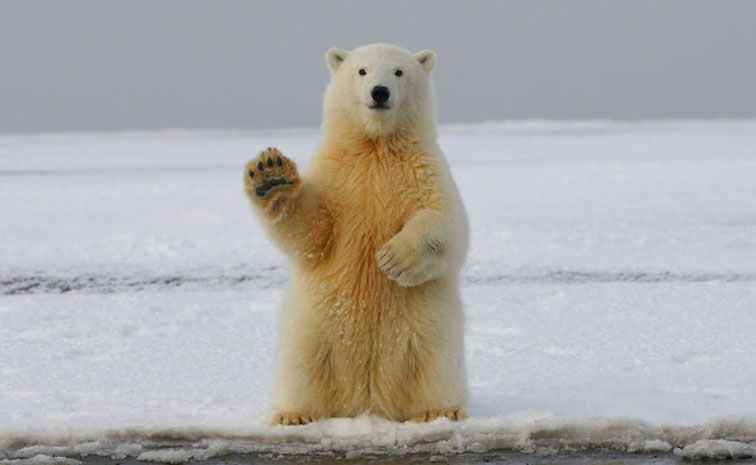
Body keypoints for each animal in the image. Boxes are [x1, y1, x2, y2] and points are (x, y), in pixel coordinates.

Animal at [243, 43, 469, 425]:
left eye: (398, 71)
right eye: (362, 71)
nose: (379, 92)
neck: (375, 146)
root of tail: (367, 401)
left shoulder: (424, 171)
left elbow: (446, 223)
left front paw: (393, 259)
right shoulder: (337, 176)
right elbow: (313, 232)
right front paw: (271, 175)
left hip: (430, 332)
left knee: (434, 367)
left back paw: (439, 411)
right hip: (311, 330)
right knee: (301, 368)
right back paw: (294, 415)